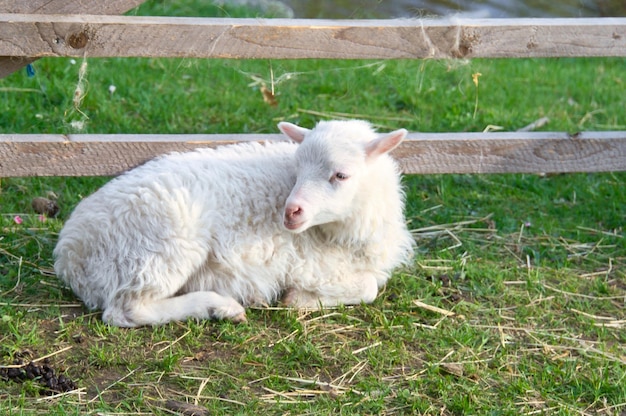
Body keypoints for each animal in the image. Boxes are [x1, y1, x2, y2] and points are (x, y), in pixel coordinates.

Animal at [53, 118, 412, 326]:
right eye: (297, 168)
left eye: (341, 175)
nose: (290, 212)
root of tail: (71, 253)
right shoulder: (311, 265)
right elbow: (369, 288)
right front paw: (299, 299)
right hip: (160, 246)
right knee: (126, 310)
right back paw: (219, 306)